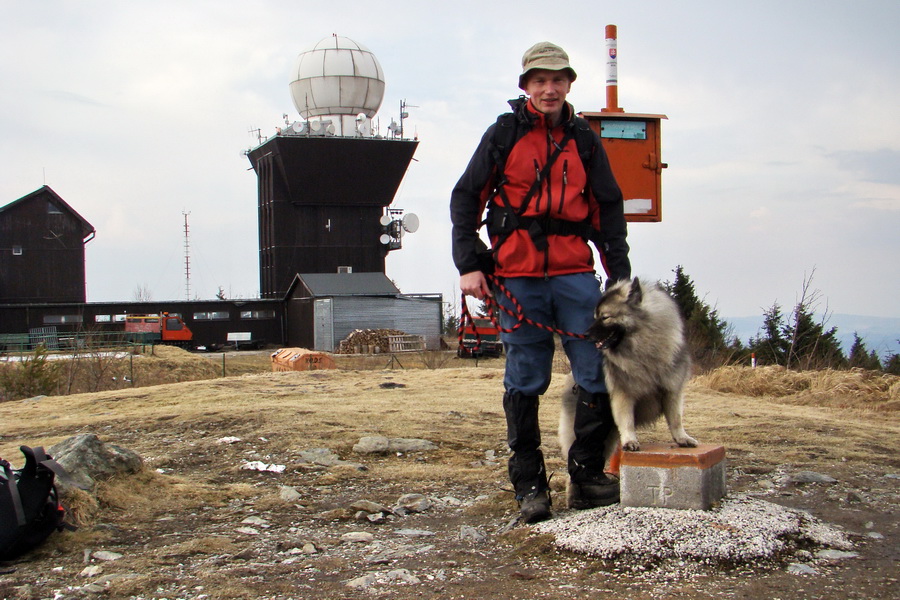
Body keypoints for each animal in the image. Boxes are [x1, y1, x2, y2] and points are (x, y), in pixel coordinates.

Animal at [560, 276, 700, 474]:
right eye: (596, 317)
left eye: (605, 317)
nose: (585, 334)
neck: (643, 348)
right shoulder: (623, 394)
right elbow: (626, 420)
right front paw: (630, 441)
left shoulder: (672, 391)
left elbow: (676, 419)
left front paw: (682, 438)